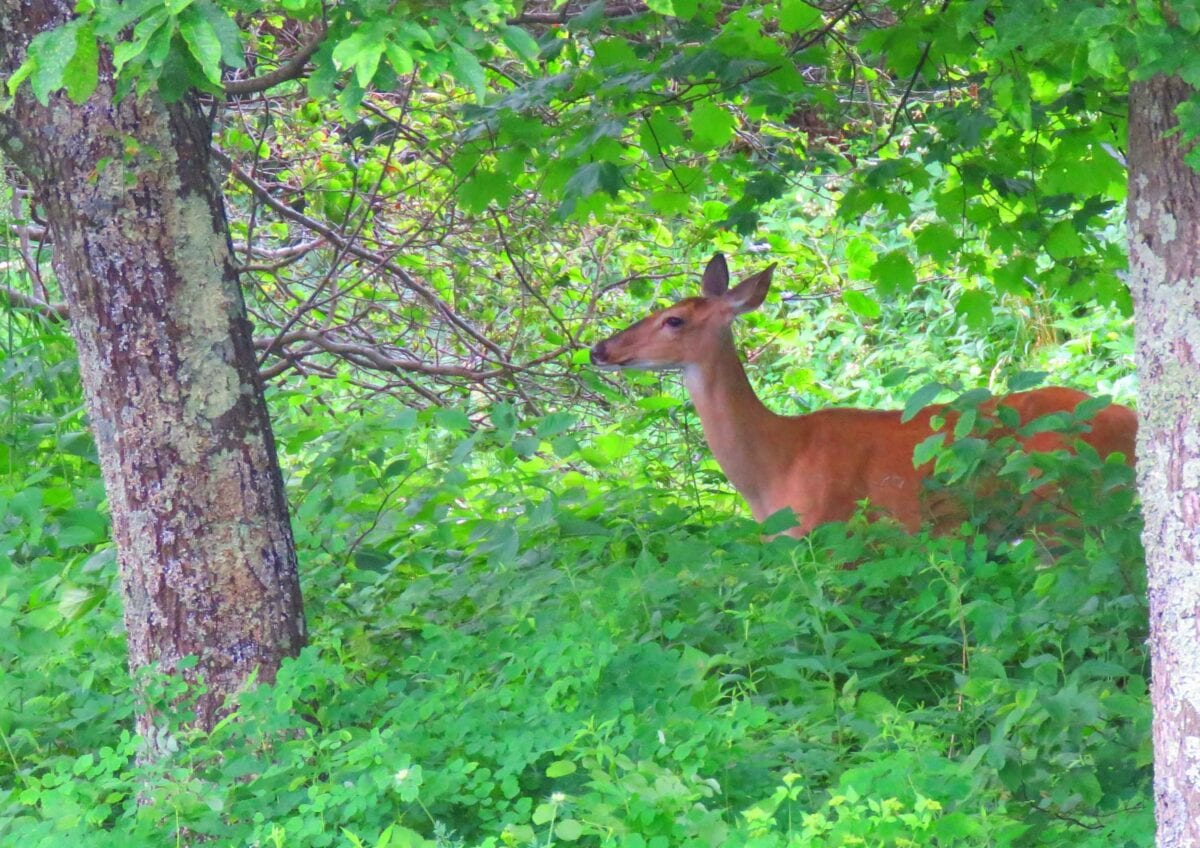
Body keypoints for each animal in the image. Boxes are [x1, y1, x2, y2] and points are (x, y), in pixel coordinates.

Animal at [590, 251, 1132, 537]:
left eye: (674, 320)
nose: (599, 348)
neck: (776, 465)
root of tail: (1132, 421)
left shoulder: (834, 535)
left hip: (1060, 505)